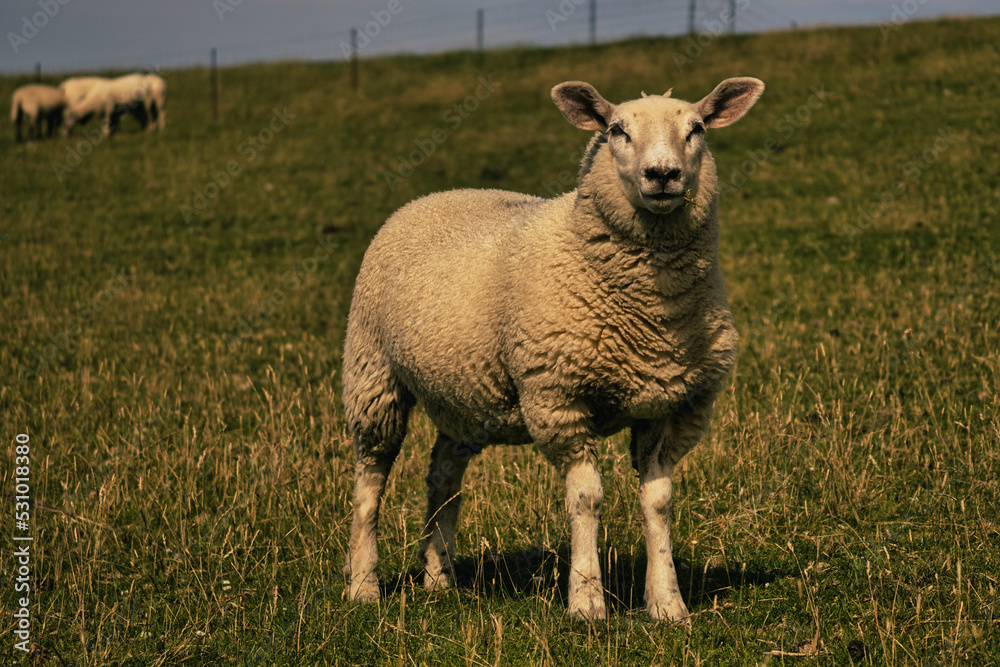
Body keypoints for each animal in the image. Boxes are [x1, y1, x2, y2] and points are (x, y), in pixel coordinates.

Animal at [342, 76, 764, 622]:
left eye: (697, 129)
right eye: (615, 130)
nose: (663, 174)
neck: (652, 311)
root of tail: (435, 195)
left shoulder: (668, 404)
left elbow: (659, 502)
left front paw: (667, 604)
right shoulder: (557, 397)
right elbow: (587, 498)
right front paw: (586, 601)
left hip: (464, 393)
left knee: (443, 476)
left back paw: (439, 577)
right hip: (374, 375)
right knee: (370, 484)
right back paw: (363, 585)